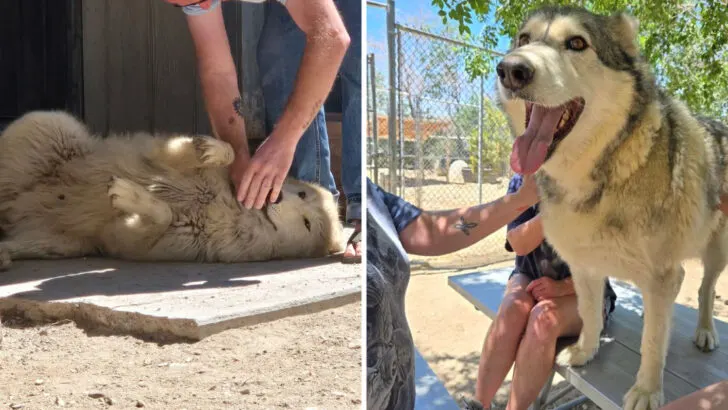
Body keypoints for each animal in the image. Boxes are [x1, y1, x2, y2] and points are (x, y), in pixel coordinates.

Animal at [0, 111, 344, 268]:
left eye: (307, 223)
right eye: (303, 195)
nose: (277, 196)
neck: (230, 207)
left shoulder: (150, 243)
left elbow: (152, 222)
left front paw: (130, 196)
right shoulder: (166, 157)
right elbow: (210, 155)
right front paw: (209, 149)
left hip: (62, 244)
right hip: (55, 129)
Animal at [495, 6, 728, 410]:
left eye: (577, 43)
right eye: (524, 39)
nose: (510, 69)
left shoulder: (660, 276)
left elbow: (652, 341)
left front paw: (647, 392)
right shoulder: (584, 266)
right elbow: (589, 315)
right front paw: (584, 352)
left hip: (717, 252)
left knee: (703, 290)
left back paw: (704, 332)